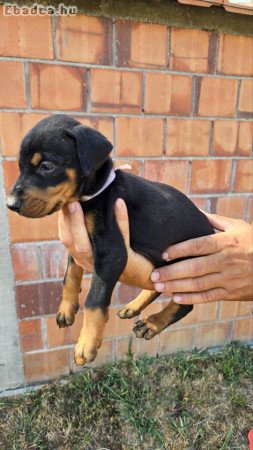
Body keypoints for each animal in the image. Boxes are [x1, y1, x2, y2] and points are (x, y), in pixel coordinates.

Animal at [6, 115, 213, 366]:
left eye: (47, 166)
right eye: (20, 166)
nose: (11, 204)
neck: (94, 193)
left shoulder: (111, 252)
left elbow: (94, 300)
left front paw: (87, 343)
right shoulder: (78, 246)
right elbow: (70, 275)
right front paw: (67, 308)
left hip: (186, 266)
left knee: (185, 303)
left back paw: (153, 323)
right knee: (157, 287)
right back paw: (134, 307)